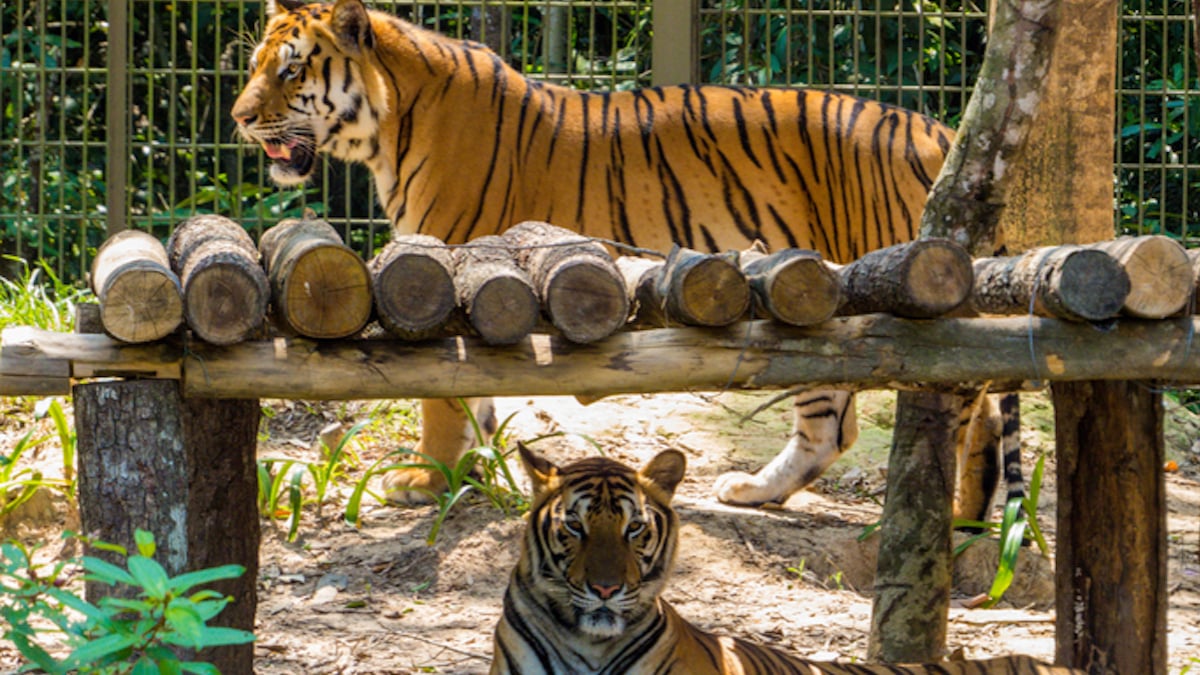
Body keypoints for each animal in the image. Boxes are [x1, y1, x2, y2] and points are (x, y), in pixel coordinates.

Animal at [231, 0, 1022, 521]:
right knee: (839, 423)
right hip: (817, 307)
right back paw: (764, 492)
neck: (389, 124)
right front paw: (478, 478)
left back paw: (953, 519)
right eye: (254, 66)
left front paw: (427, 481)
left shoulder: (447, 264)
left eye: (291, 71)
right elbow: (478, 396)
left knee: (964, 402)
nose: (238, 117)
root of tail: (935, 127)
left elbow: (442, 395)